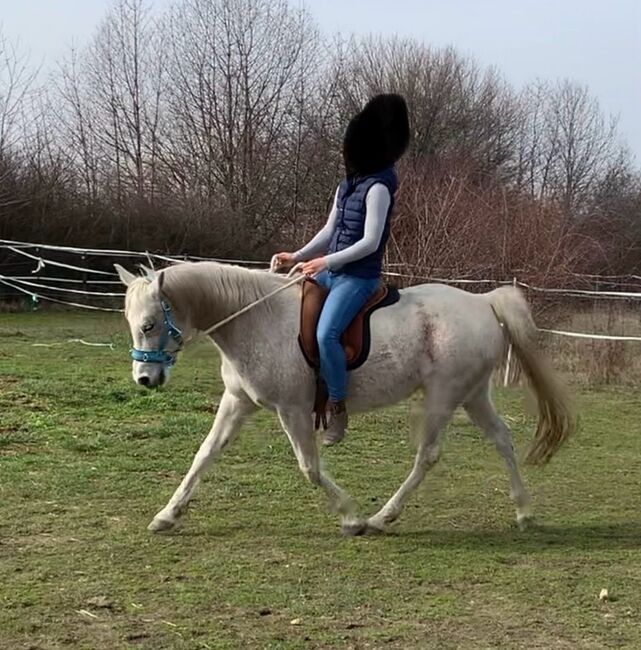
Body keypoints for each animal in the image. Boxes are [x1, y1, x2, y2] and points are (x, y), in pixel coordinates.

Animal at [116, 260, 576, 536]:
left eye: (150, 324)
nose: (145, 378)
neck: (255, 318)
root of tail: (483, 302)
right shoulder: (237, 402)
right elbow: (204, 455)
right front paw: (167, 514)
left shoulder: (292, 410)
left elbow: (310, 468)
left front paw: (352, 518)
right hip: (474, 396)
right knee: (502, 439)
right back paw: (523, 511)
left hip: (444, 397)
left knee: (427, 456)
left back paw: (382, 517)